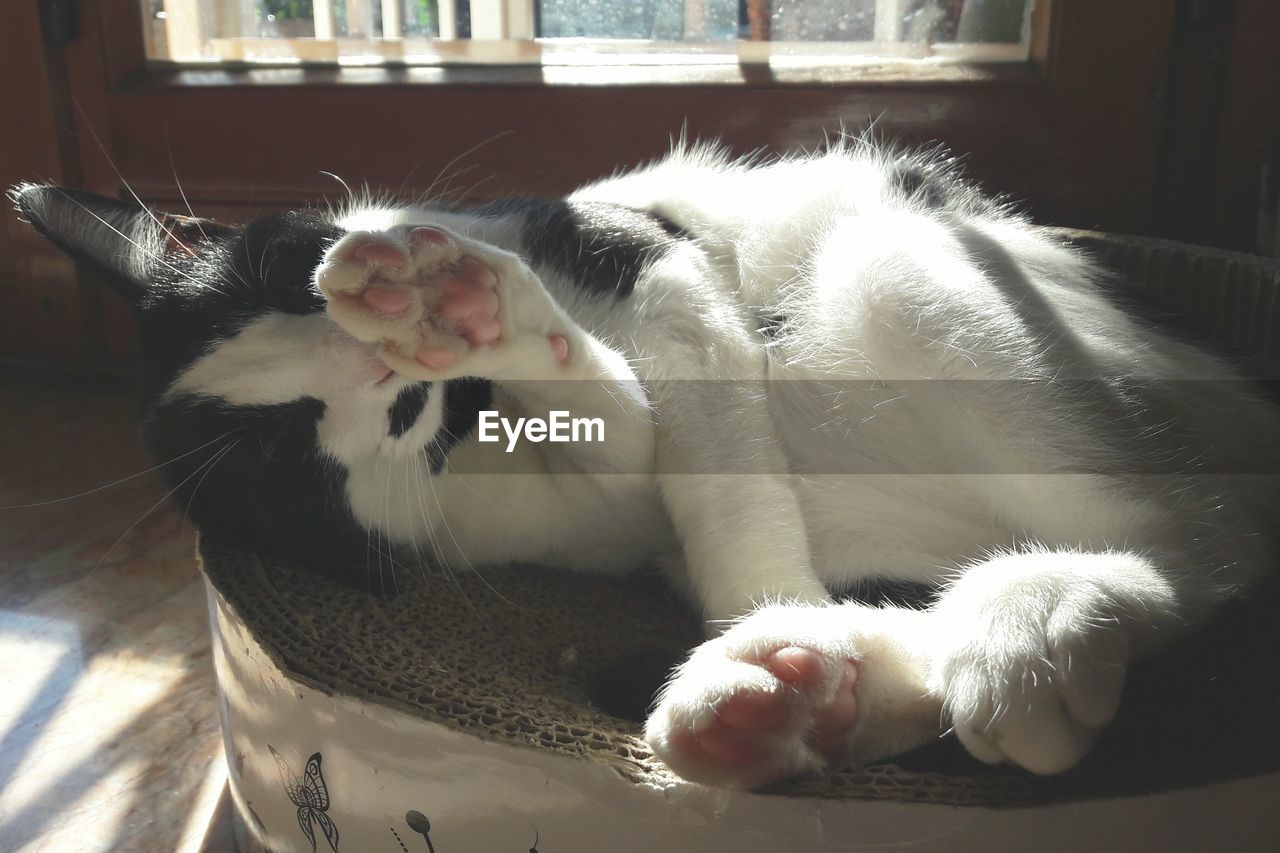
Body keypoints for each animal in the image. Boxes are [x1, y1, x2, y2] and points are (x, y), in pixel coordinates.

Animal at [12, 142, 1280, 788]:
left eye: (284, 269)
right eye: (294, 462)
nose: (378, 354)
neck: (476, 422)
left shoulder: (657, 273)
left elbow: (707, 463)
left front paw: (459, 294)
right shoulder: (582, 509)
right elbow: (635, 447)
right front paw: (783, 648)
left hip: (905, 269)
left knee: (1209, 544)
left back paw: (1010, 623)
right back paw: (784, 705)